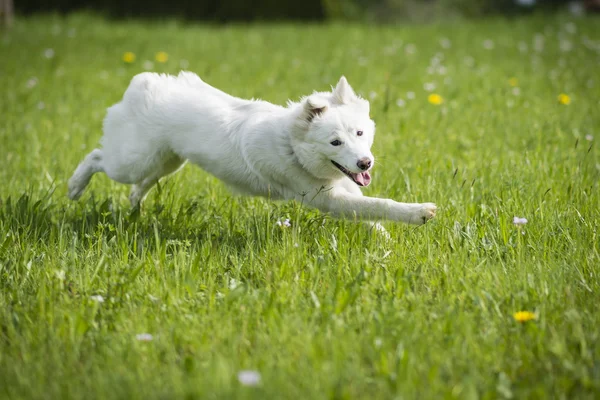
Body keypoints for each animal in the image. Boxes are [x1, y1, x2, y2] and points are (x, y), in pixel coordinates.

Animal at [69, 72, 436, 225]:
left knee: (139, 186)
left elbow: (367, 210)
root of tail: (146, 83)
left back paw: (135, 205)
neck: (292, 147)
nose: (365, 163)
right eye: (335, 142)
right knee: (97, 157)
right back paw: (74, 187)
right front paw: (418, 214)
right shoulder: (327, 199)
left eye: (360, 133)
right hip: (133, 161)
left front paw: (382, 240)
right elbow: (377, 205)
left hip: (168, 162)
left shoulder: (343, 190)